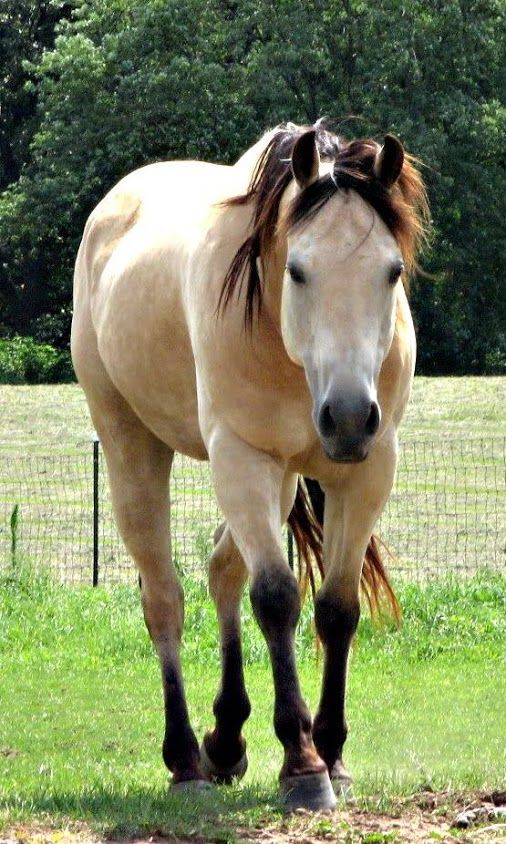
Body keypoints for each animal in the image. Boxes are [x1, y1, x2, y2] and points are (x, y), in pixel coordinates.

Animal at [70, 120, 426, 812]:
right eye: (298, 270)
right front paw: (302, 764)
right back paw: (186, 758)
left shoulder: (367, 470)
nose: (348, 417)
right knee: (166, 599)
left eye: (392, 271)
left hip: (283, 479)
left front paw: (332, 751)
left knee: (220, 572)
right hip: (134, 447)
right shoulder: (239, 456)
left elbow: (337, 607)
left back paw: (227, 739)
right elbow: (277, 597)